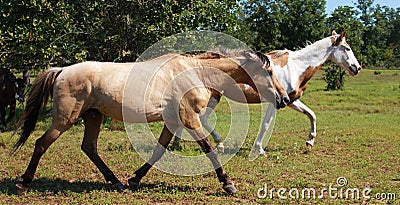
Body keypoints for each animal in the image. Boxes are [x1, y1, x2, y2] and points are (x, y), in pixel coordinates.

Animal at [172, 30, 362, 155]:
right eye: (347, 48)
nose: (357, 68)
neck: (296, 67)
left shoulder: (290, 100)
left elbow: (311, 114)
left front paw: (310, 141)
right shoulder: (275, 102)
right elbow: (265, 124)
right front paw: (260, 149)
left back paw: (179, 144)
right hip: (212, 96)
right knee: (201, 118)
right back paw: (218, 145)